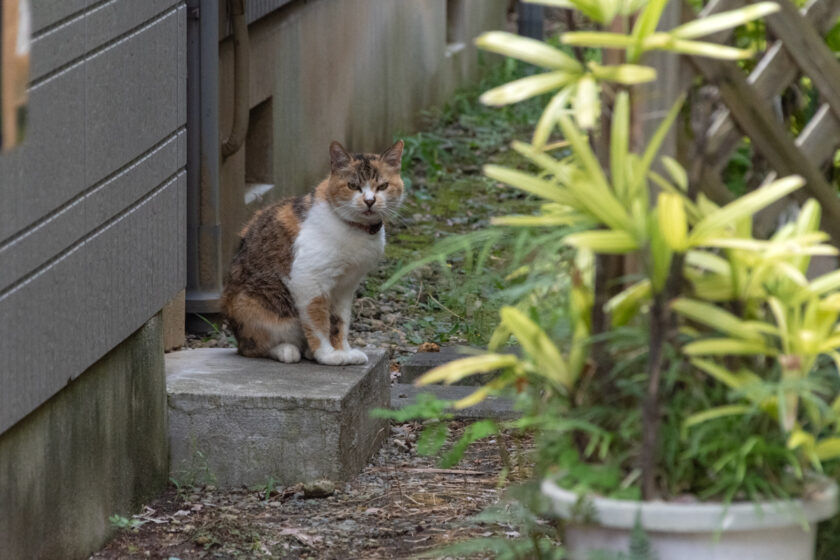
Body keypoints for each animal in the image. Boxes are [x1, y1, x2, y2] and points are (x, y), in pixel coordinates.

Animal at [221, 140, 406, 366]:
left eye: (383, 186)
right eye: (353, 186)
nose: (370, 201)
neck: (355, 230)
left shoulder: (346, 287)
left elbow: (340, 321)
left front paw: (344, 351)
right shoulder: (308, 280)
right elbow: (318, 321)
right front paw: (327, 355)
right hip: (252, 307)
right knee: (252, 347)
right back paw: (285, 350)